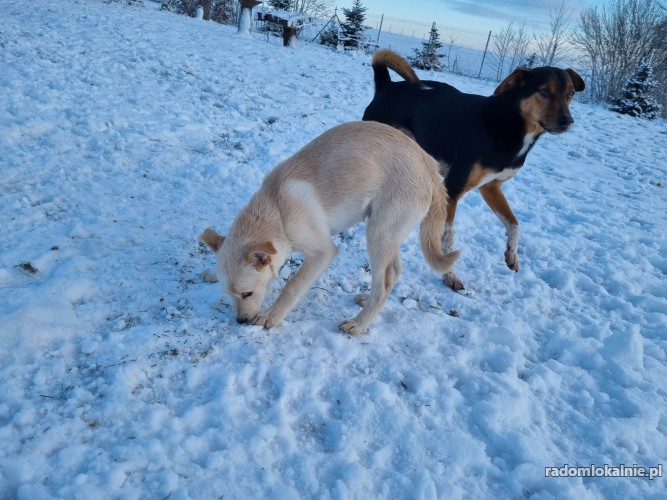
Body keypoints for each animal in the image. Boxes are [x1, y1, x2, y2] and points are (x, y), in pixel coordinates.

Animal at [198, 119, 460, 334]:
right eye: (229, 294)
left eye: (247, 294)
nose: (240, 321)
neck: (276, 209)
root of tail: (430, 169)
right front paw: (212, 273)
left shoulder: (322, 252)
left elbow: (292, 287)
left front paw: (272, 315)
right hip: (386, 233)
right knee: (392, 272)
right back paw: (366, 301)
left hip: (378, 231)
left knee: (383, 283)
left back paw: (359, 323)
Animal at [362, 48, 588, 292]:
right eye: (544, 91)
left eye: (570, 94)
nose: (567, 121)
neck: (505, 126)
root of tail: (386, 85)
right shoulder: (453, 188)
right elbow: (447, 238)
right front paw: (449, 275)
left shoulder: (491, 187)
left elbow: (514, 224)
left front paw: (512, 255)